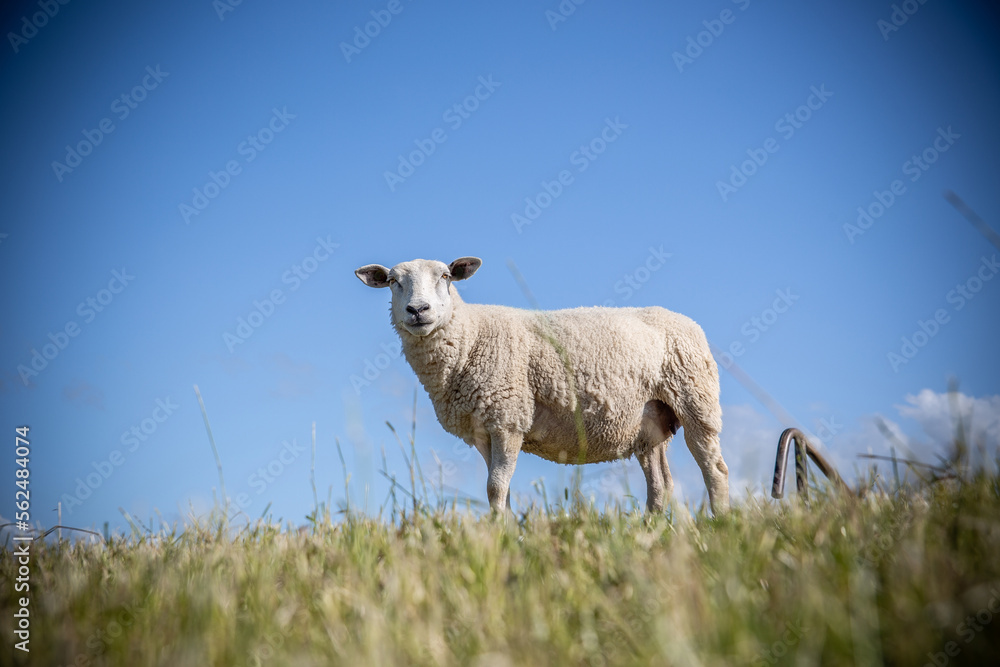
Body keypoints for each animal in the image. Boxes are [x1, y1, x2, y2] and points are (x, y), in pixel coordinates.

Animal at [354, 257, 730, 516]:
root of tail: (687, 322)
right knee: (660, 484)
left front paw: (501, 536)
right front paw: (503, 529)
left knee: (714, 470)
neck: (471, 336)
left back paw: (720, 523)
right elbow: (497, 488)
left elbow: (496, 487)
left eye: (445, 276)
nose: (418, 310)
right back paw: (650, 532)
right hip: (649, 424)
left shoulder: (508, 418)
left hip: (696, 401)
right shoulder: (482, 429)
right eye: (392, 281)